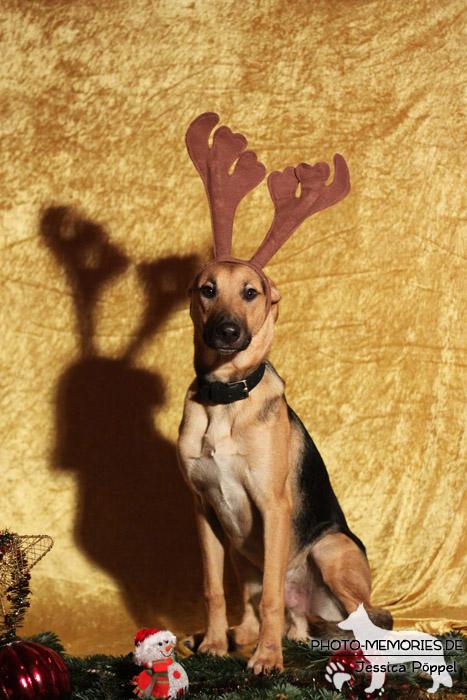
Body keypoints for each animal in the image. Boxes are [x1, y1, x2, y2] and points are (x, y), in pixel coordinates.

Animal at [176, 113, 392, 672]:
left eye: (251, 293)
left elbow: (273, 592)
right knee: (265, 607)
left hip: (330, 550)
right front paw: (214, 646)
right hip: (242, 554)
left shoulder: (273, 508)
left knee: (361, 616)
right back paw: (241, 636)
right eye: (207, 289)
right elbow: (213, 589)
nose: (227, 331)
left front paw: (267, 661)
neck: (226, 397)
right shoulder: (203, 511)